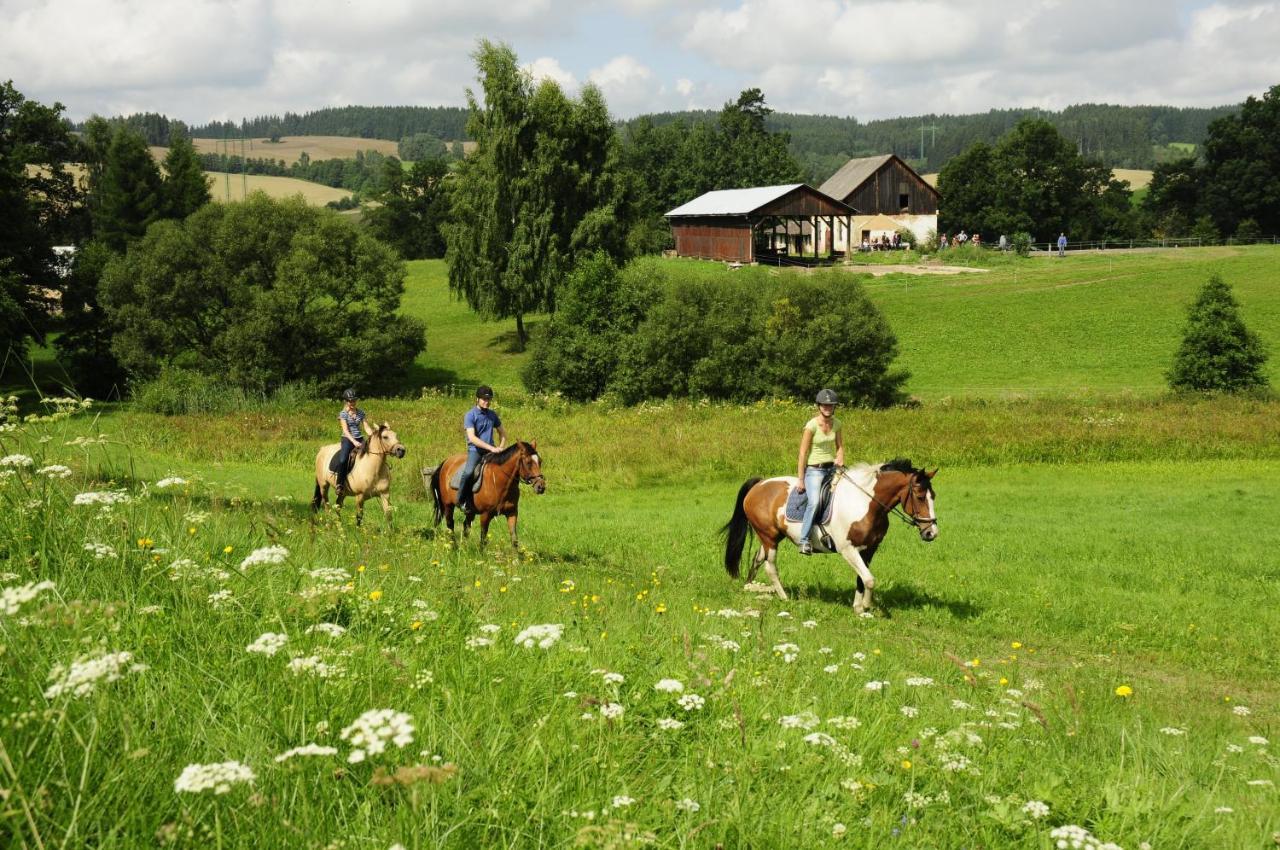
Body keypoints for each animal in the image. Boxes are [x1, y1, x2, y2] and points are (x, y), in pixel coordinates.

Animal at [721, 460, 942, 614]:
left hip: (771, 537)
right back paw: (784, 598)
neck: (866, 503)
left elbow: (861, 579)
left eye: (934, 496)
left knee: (757, 559)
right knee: (770, 567)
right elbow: (869, 579)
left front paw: (858, 607)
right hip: (769, 537)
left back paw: (750, 587)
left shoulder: (869, 550)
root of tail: (759, 485)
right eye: (920, 497)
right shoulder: (848, 549)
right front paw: (866, 607)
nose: (931, 533)